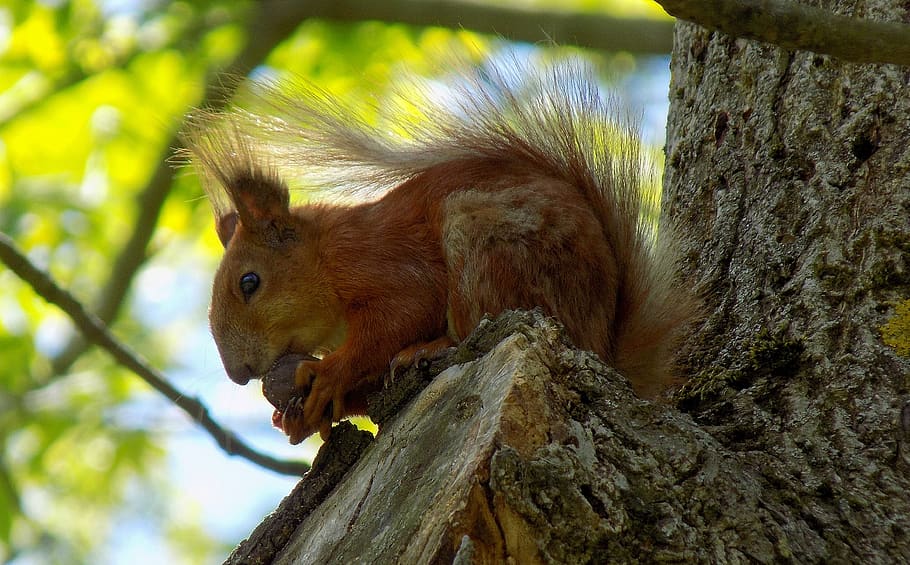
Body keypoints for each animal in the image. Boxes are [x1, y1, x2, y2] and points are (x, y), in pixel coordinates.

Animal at [184, 59, 697, 444]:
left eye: (250, 282)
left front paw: (328, 374)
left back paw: (431, 347)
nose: (239, 373)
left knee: (472, 324)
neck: (324, 256)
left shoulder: (379, 260)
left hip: (486, 244)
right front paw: (302, 414)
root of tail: (603, 344)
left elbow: (404, 311)